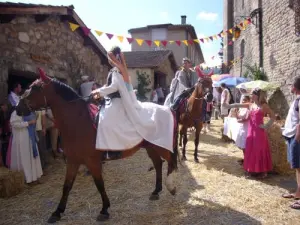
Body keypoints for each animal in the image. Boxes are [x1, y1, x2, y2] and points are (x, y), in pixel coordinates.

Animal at [17, 69, 178, 223]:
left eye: (35, 87)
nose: (18, 108)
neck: (78, 121)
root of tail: (168, 109)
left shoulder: (92, 161)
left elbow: (99, 183)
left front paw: (104, 210)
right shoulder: (73, 161)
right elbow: (67, 186)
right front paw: (57, 212)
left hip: (161, 146)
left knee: (170, 161)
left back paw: (171, 187)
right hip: (152, 146)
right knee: (158, 164)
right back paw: (156, 191)